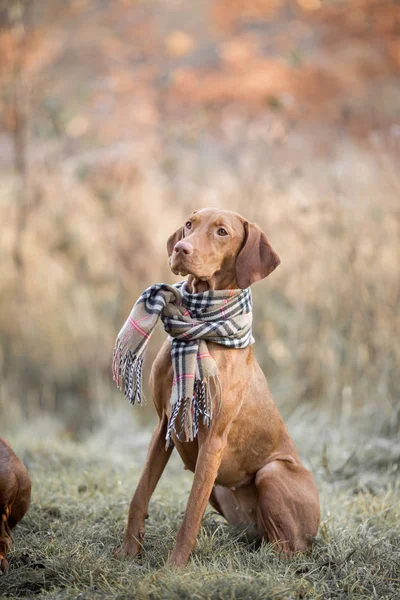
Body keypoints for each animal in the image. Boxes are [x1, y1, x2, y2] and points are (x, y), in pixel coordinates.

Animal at [117, 207, 320, 568]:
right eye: (189, 224)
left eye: (222, 232)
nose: (180, 248)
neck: (201, 326)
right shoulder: (164, 424)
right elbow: (140, 495)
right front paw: (128, 553)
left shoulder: (213, 440)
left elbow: (190, 515)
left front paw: (173, 569)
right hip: (222, 490)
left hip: (272, 472)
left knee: (287, 550)